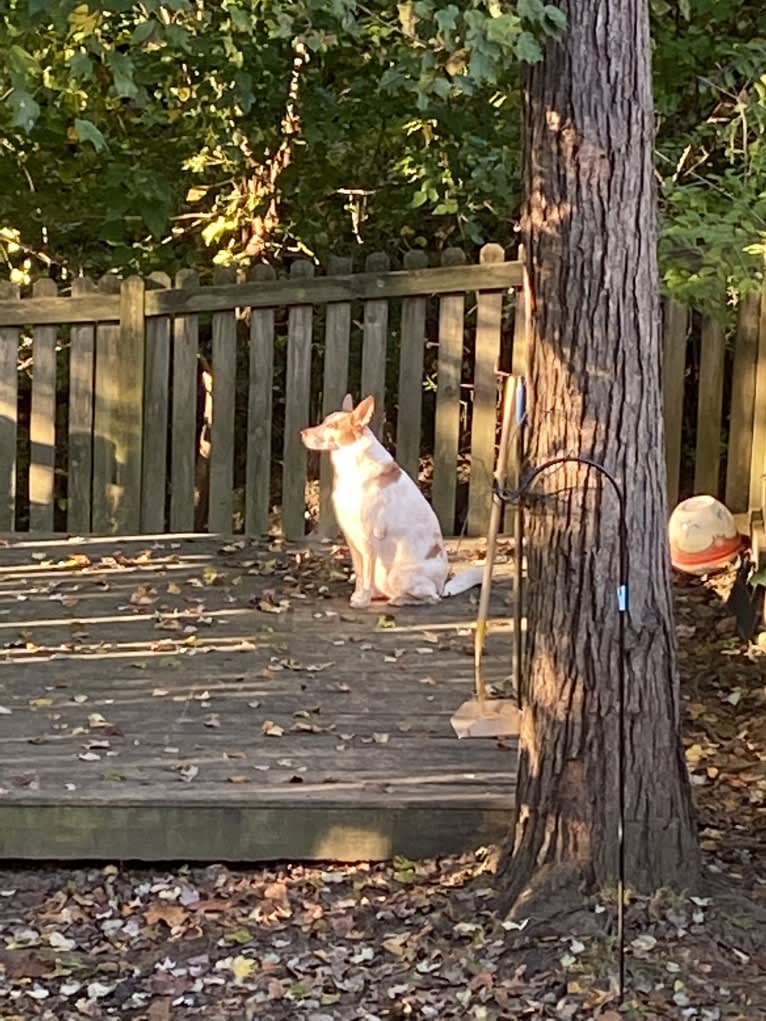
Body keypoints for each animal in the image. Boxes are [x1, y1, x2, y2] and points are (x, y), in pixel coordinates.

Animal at [298, 392, 480, 604]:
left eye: (332, 426)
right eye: (324, 422)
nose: (302, 433)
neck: (351, 464)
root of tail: (443, 586)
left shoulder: (369, 540)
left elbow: (366, 575)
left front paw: (362, 600)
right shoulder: (352, 539)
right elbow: (360, 574)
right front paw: (359, 596)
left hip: (398, 576)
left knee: (431, 597)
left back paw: (399, 600)